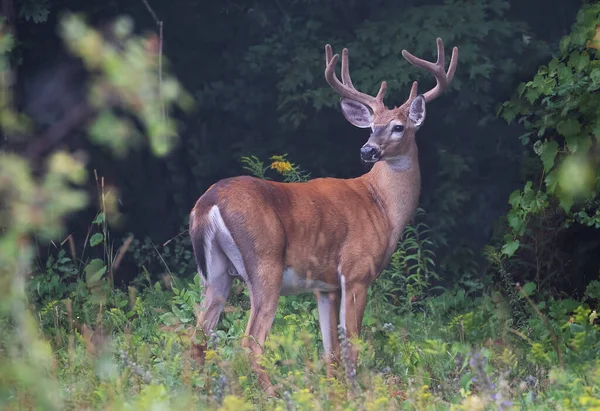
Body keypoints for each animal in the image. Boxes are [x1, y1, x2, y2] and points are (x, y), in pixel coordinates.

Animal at [190, 38, 458, 396]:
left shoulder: (325, 286)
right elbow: (352, 345)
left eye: (398, 127)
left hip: (216, 274)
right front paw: (357, 394)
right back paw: (274, 395)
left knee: (197, 338)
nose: (367, 150)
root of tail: (208, 202)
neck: (381, 206)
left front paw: (336, 393)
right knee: (250, 343)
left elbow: (330, 351)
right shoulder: (357, 271)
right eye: (372, 127)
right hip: (265, 264)